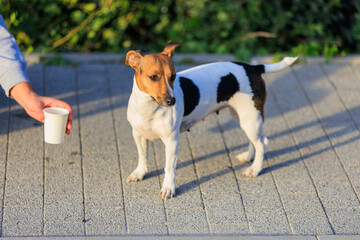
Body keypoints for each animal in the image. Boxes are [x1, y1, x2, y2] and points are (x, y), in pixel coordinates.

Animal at [125, 40, 296, 199]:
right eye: (153, 77)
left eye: (173, 76)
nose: (171, 101)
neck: (149, 107)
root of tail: (253, 68)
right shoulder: (137, 135)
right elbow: (142, 156)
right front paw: (139, 173)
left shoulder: (171, 141)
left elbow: (169, 168)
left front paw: (168, 188)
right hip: (243, 118)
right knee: (256, 140)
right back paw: (248, 157)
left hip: (250, 119)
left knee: (262, 143)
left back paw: (255, 169)